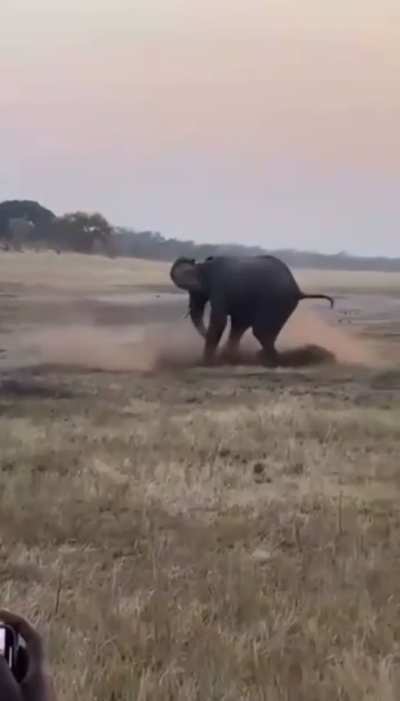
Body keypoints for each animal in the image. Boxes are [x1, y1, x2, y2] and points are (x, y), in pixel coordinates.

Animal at [170, 254, 334, 365]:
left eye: (195, 292)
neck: (202, 266)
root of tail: (298, 290)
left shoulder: (220, 287)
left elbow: (219, 320)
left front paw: (207, 362)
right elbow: (239, 324)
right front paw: (227, 357)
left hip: (276, 301)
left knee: (260, 331)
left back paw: (272, 360)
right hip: (283, 305)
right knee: (265, 333)